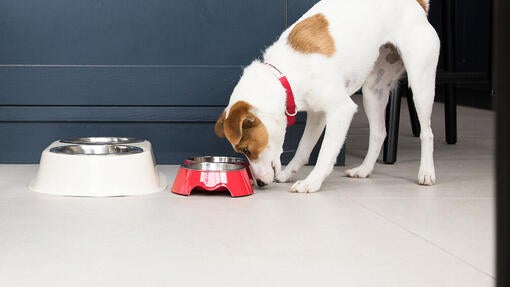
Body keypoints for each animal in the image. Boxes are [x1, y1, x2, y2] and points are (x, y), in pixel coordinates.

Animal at [213, 0, 440, 194]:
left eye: (246, 149)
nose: (259, 183)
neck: (285, 75)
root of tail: (417, 5)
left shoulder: (341, 111)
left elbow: (325, 153)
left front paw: (311, 182)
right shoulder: (317, 114)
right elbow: (303, 149)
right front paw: (288, 174)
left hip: (420, 84)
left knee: (427, 133)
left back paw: (427, 173)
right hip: (373, 92)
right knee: (379, 133)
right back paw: (364, 170)